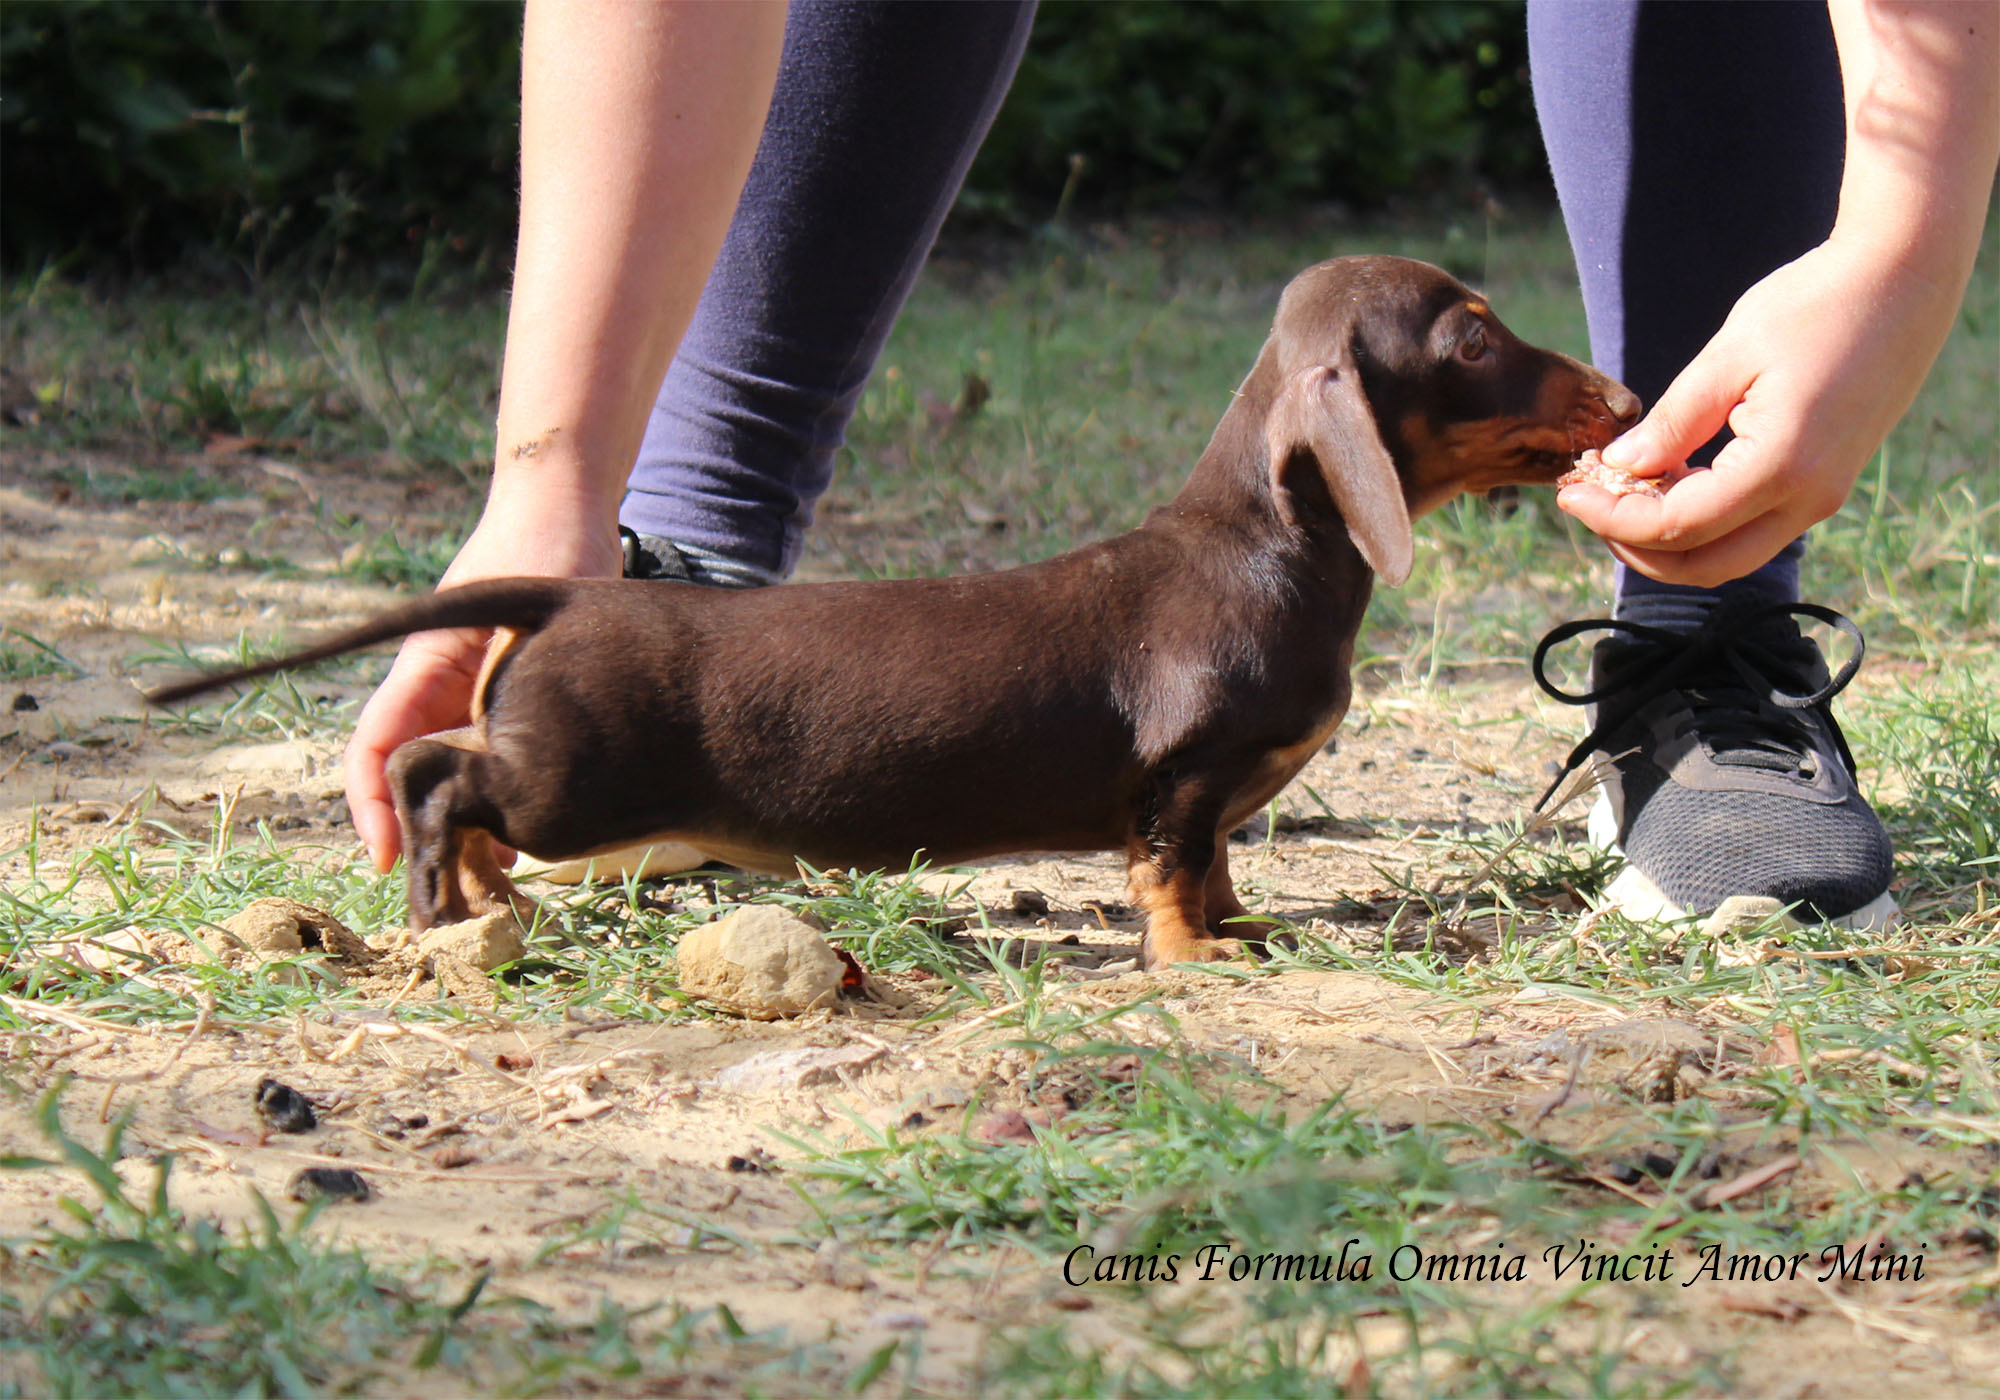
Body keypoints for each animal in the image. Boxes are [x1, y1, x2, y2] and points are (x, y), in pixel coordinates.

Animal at [152, 258, 1624, 968]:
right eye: (1474, 335)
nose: (1620, 395)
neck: (1267, 550)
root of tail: (566, 588)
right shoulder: (1185, 773)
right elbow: (1169, 870)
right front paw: (1194, 956)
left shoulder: (1212, 799)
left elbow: (1215, 865)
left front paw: (1236, 925)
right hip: (578, 778)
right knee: (432, 770)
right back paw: (437, 900)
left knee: (459, 793)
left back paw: (477, 890)